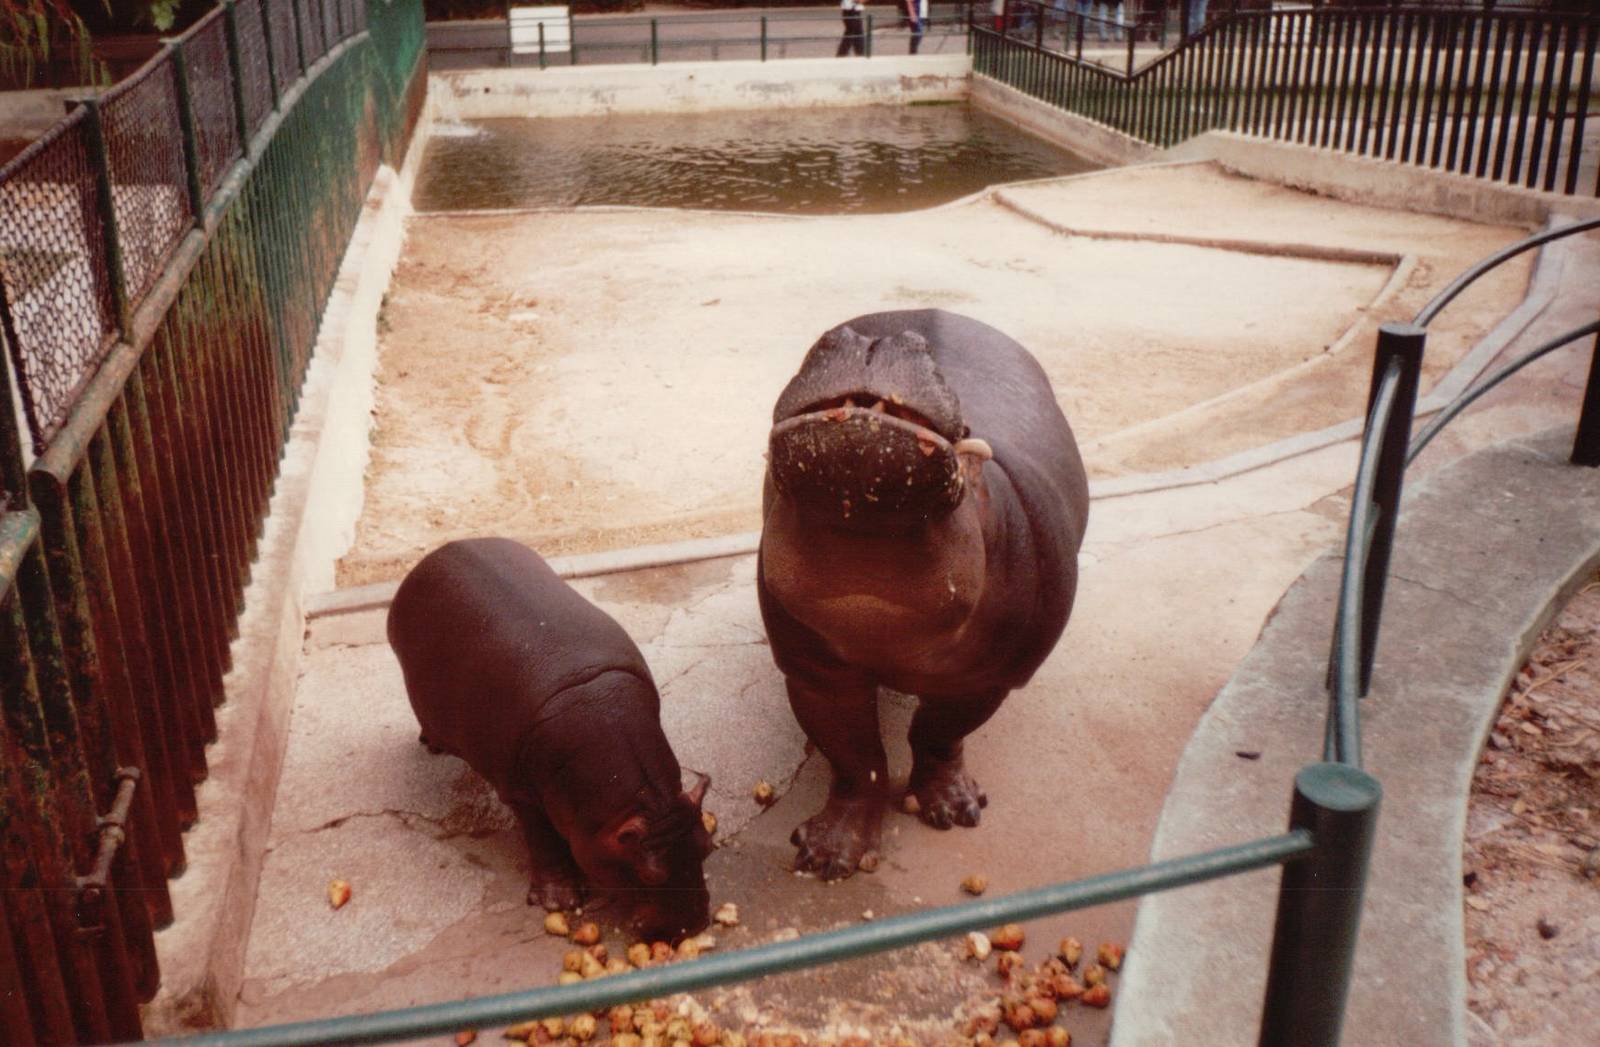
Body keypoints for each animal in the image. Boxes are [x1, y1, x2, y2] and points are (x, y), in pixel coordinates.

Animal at [388, 537, 713, 941]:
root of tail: (444, 549)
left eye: (706, 846)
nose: (691, 926)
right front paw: (559, 901)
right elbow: (541, 837)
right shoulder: (519, 792)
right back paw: (432, 744)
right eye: (648, 873)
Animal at [758, 309, 1089, 880]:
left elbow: (938, 733)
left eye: (970, 435)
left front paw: (956, 809)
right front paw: (827, 853)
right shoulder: (816, 673)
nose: (873, 341)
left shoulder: (986, 678)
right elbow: (857, 758)